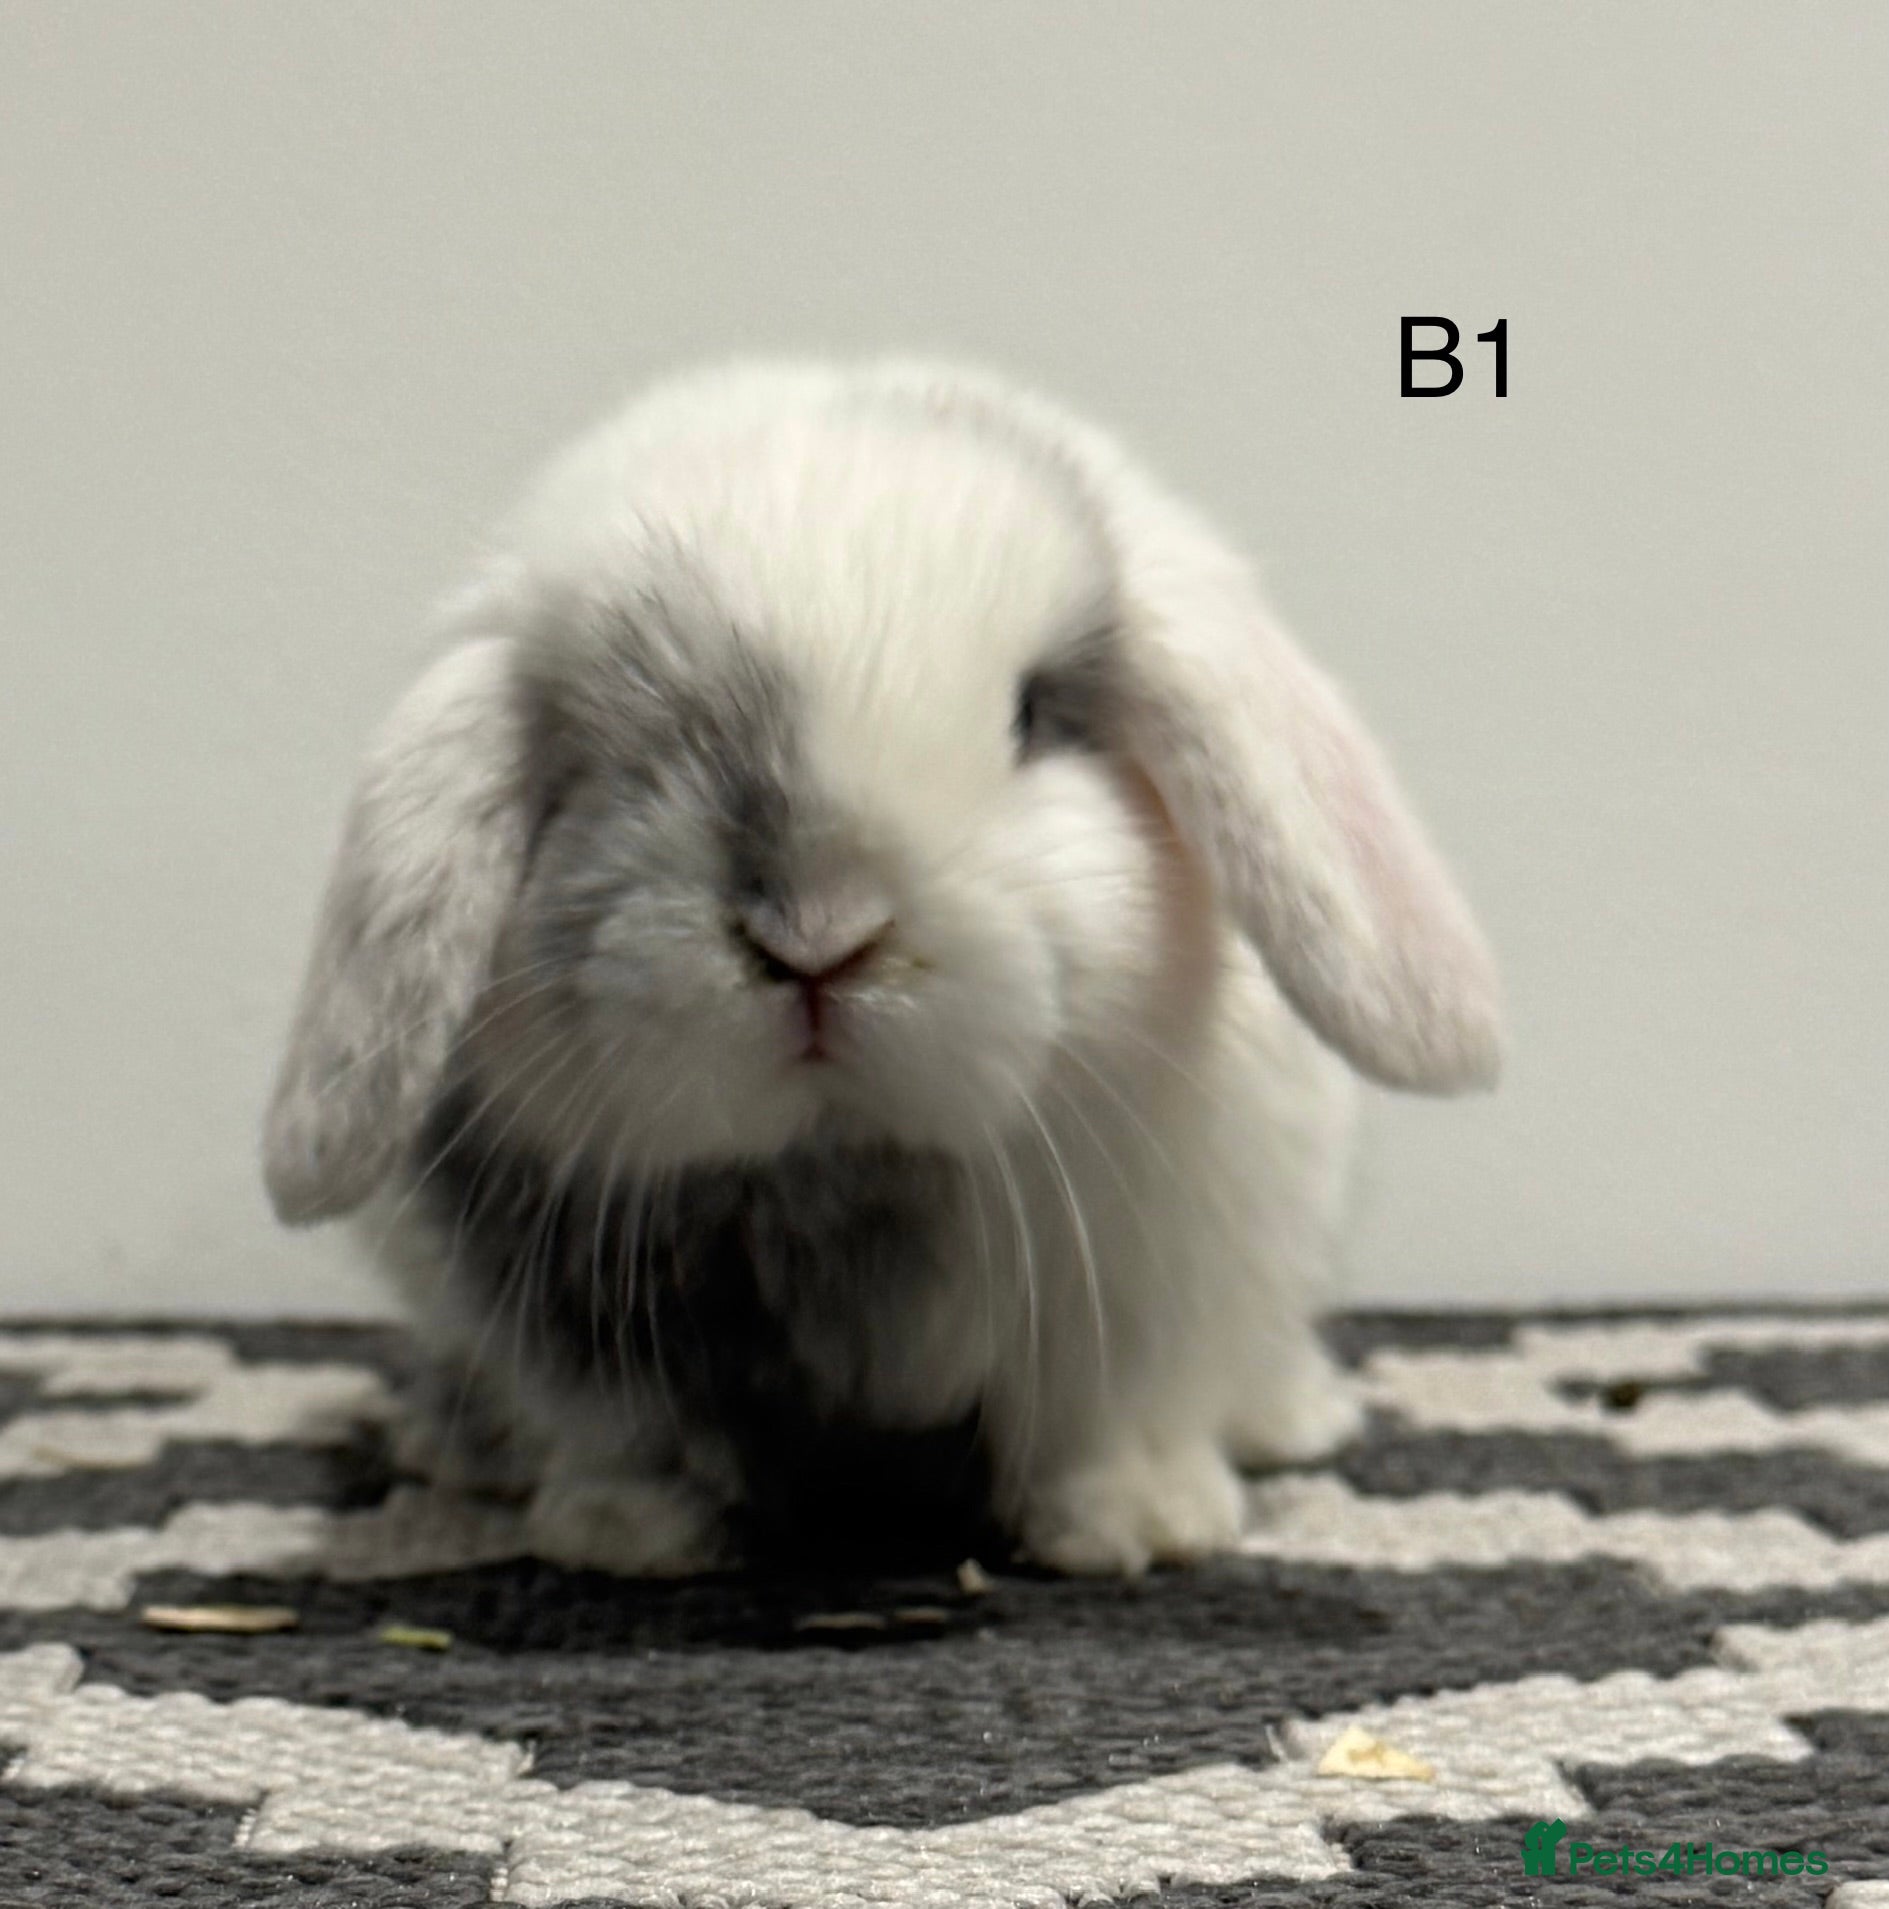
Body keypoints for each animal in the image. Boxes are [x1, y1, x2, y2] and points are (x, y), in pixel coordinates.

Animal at [261, 359, 1502, 1576]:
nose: (818, 936)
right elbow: (627, 1433)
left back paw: (1292, 1418)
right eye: (602, 758)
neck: (852, 1167)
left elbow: (1107, 1414)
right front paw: (622, 1537)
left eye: (1033, 716)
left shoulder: (1144, 1281)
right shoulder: (569, 1309)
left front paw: (1138, 1526)